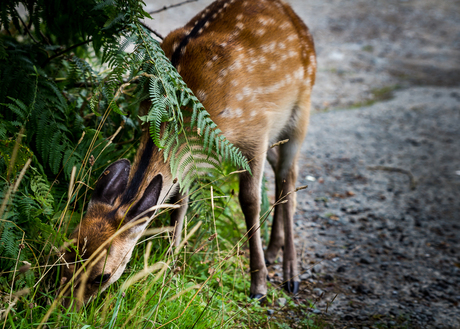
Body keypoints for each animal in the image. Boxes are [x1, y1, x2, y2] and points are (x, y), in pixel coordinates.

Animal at [59, 0, 314, 308]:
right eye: (67, 252)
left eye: (102, 276)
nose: (67, 307)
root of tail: (292, 15)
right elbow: (178, 201)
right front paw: (169, 267)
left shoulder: (256, 130)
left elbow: (250, 202)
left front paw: (258, 285)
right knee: (283, 176)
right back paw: (275, 249)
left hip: (301, 108)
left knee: (290, 177)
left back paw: (291, 274)